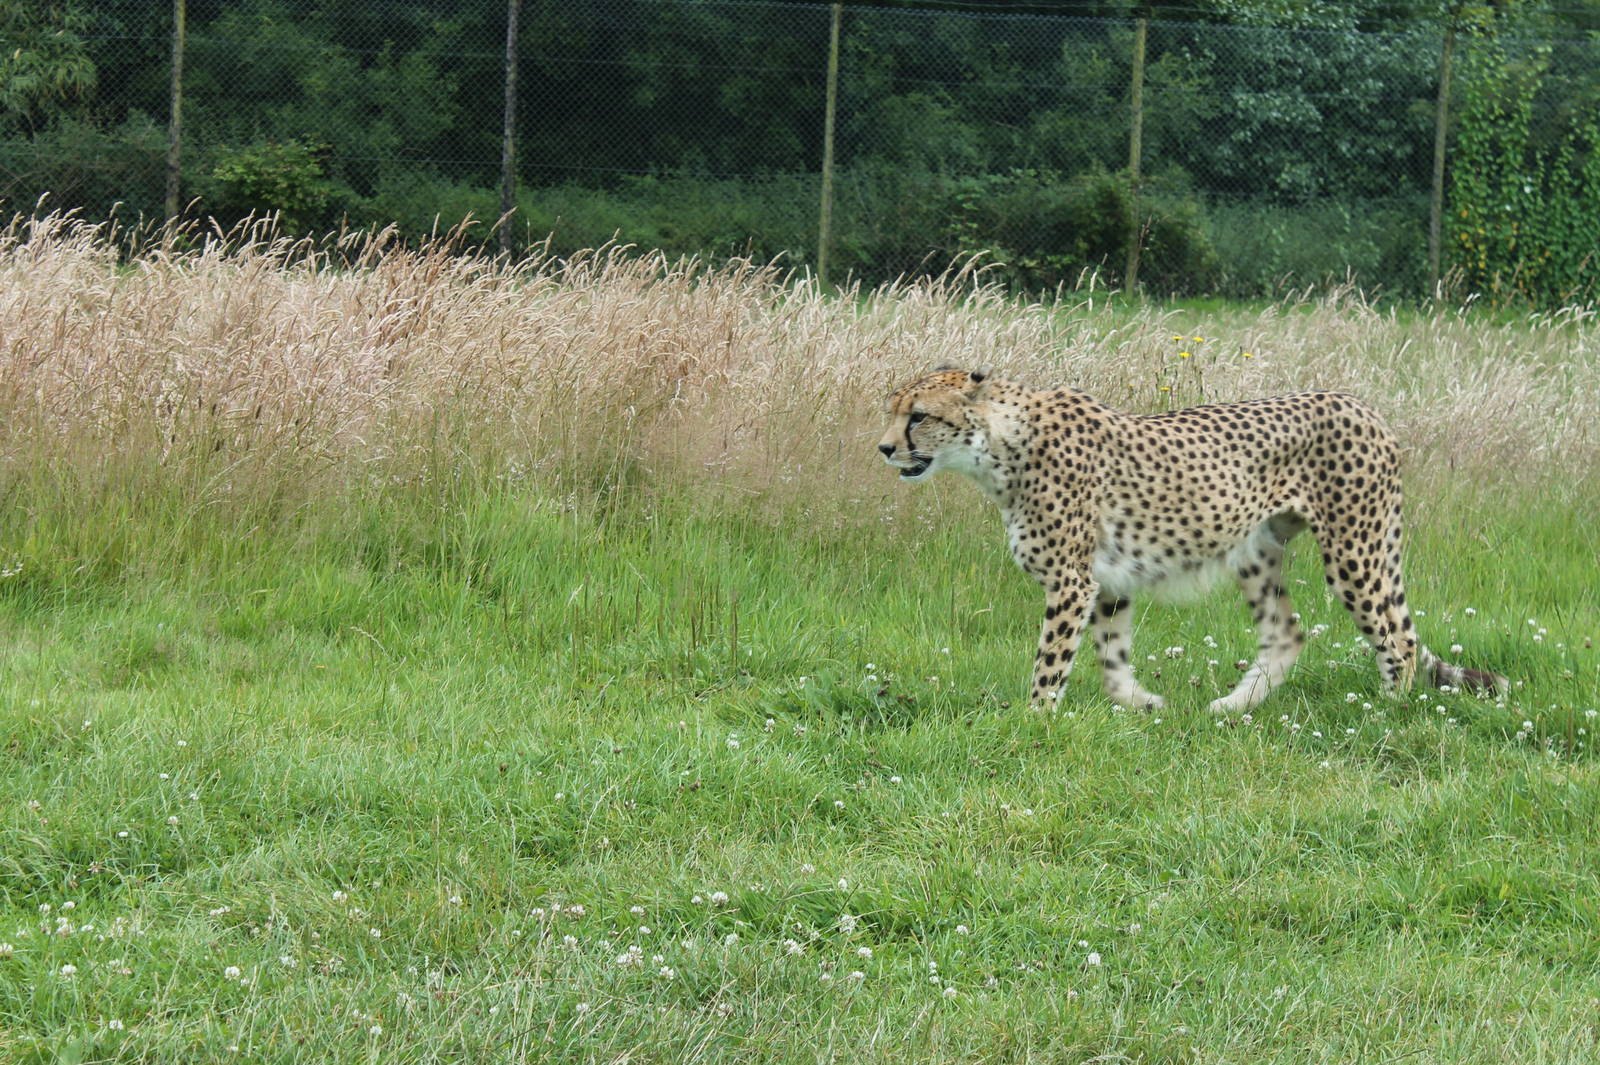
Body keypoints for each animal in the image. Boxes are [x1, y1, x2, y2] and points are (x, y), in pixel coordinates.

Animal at [877, 366, 1507, 712]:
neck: (1000, 447)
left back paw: (1384, 712)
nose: (884, 448)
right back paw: (1232, 706)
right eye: (894, 412)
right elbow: (1111, 658)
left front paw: (1034, 720)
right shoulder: (1106, 580)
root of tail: (1362, 405)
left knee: (1398, 639)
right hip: (1255, 549)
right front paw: (1142, 703)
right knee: (1288, 632)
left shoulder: (1071, 581)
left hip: (1355, 549)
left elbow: (1050, 662)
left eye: (919, 416)